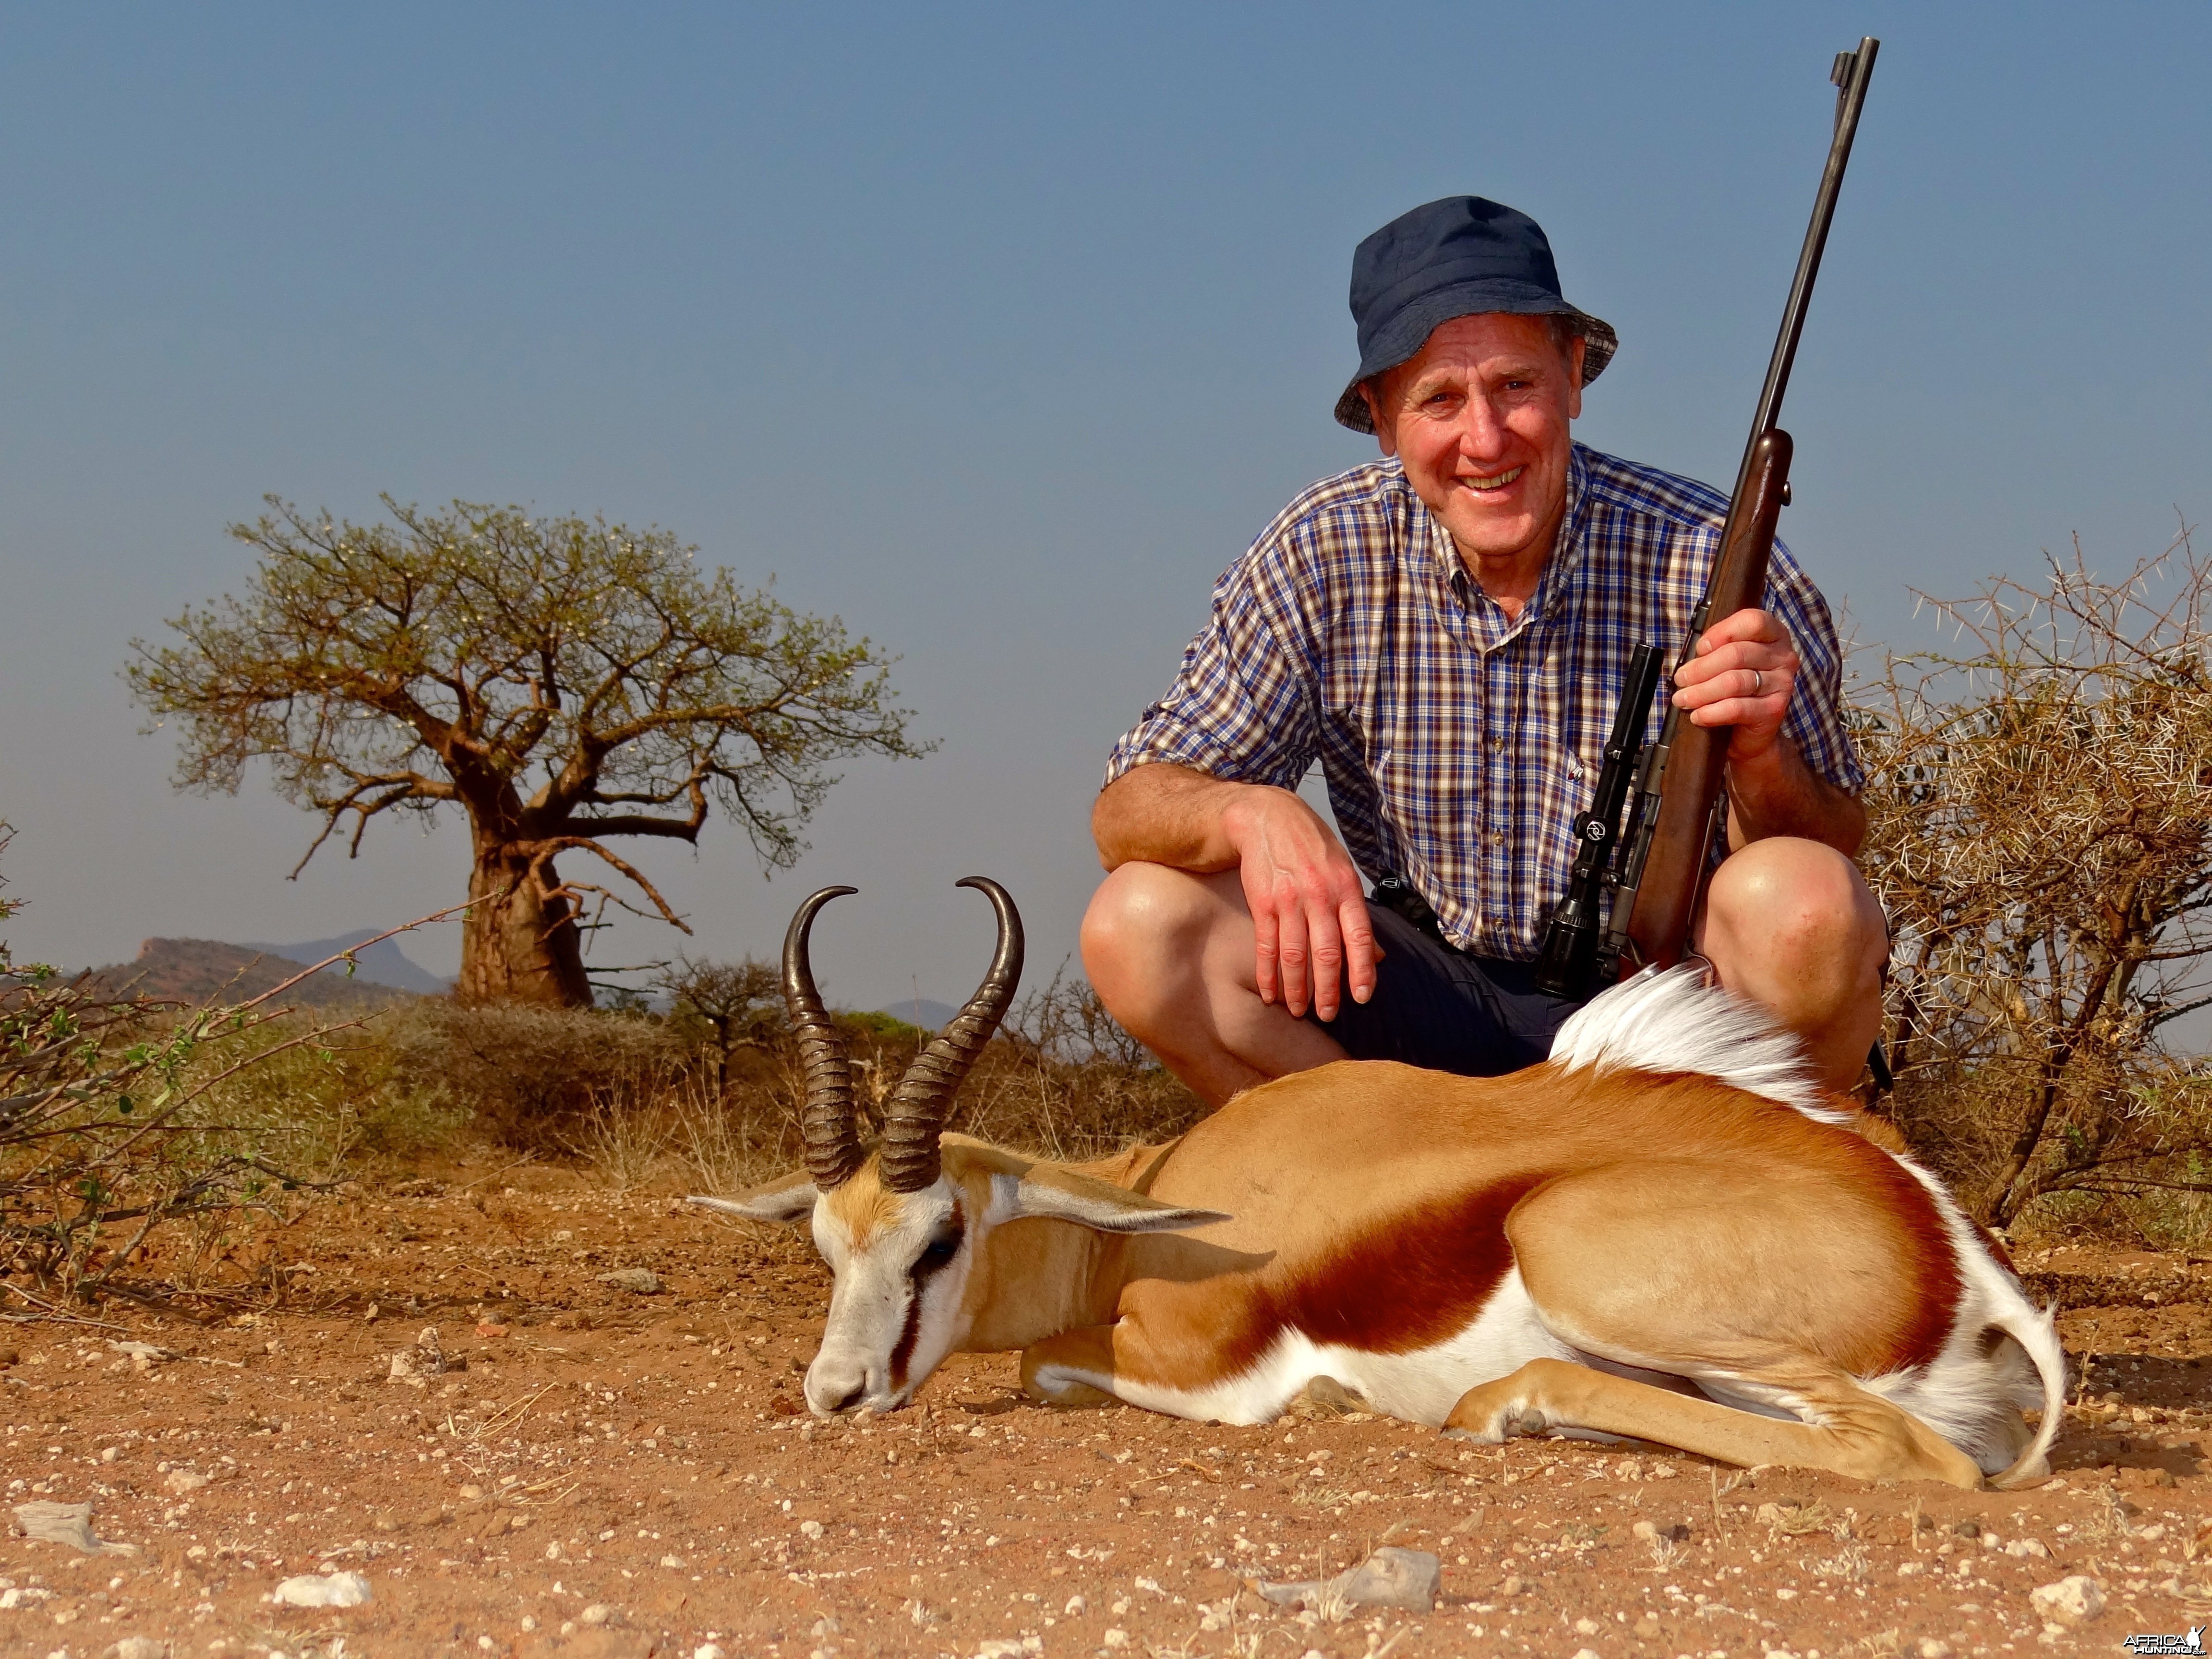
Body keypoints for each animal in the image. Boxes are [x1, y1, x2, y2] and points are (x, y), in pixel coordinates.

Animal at [699, 885, 2061, 1495]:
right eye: (825, 1244)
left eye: (937, 1241)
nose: (834, 1393)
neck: (1144, 1214)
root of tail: (1950, 1253)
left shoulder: (1188, 1360)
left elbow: (1045, 1366)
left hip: (1580, 1261)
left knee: (1901, 1452)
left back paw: (1505, 1410)